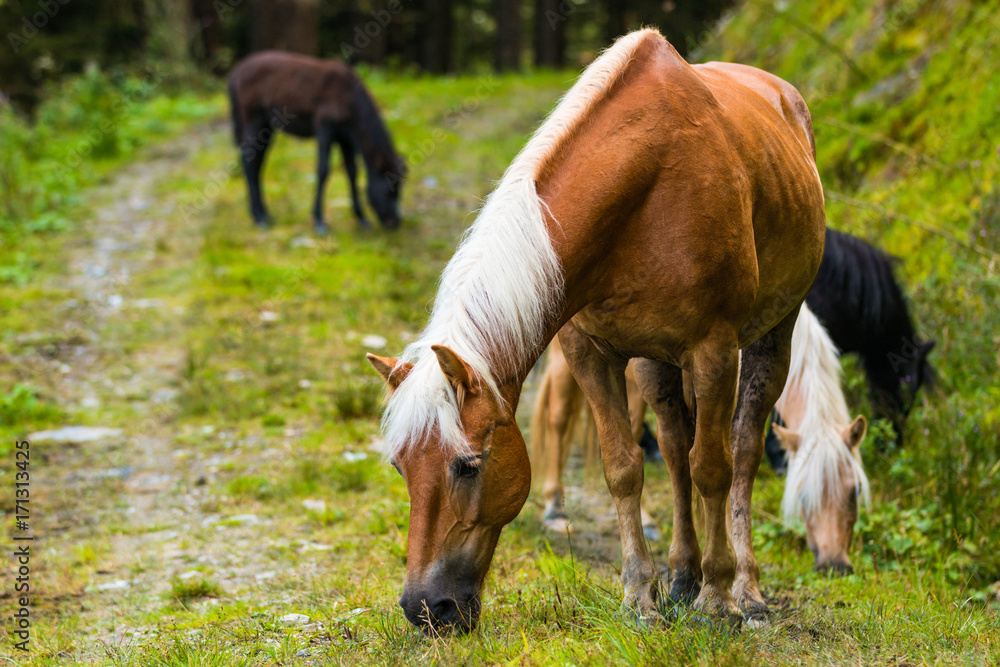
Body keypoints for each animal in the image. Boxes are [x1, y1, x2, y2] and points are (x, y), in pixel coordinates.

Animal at [228, 50, 406, 232]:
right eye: (389, 190)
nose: (395, 222)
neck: (350, 98)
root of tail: (235, 73)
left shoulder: (345, 138)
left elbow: (352, 172)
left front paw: (361, 218)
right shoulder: (324, 127)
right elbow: (323, 170)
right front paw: (319, 220)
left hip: (266, 127)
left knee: (257, 163)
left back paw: (263, 213)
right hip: (253, 120)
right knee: (249, 164)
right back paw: (260, 217)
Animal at [364, 30, 824, 636]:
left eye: (468, 466)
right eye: (400, 466)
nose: (424, 609)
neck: (645, 185)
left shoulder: (715, 351)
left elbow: (714, 467)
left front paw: (718, 598)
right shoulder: (590, 353)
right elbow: (625, 467)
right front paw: (640, 598)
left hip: (773, 333)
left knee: (741, 448)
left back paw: (744, 589)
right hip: (654, 362)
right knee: (673, 449)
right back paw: (682, 578)